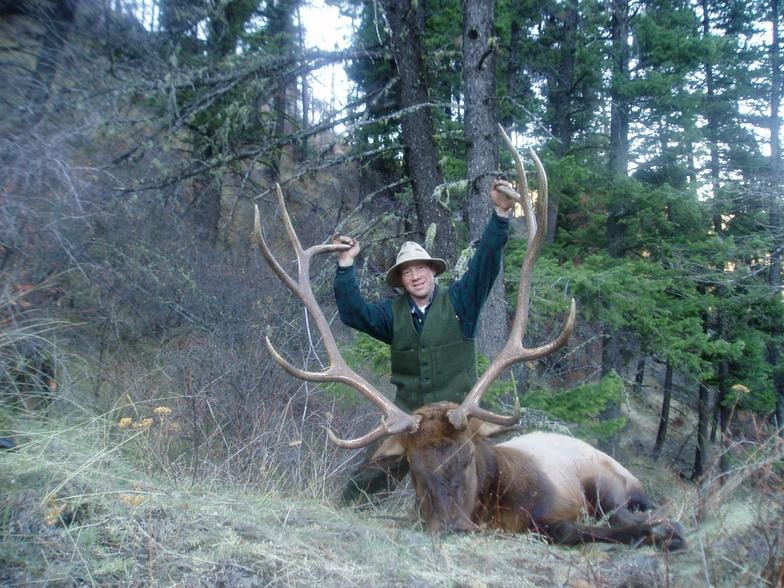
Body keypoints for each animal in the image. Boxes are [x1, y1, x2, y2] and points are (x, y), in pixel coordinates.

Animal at [252, 124, 686, 551]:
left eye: (466, 458)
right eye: (414, 468)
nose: (454, 527)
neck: (498, 506)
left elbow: (575, 528)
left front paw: (665, 532)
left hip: (611, 479)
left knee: (626, 508)